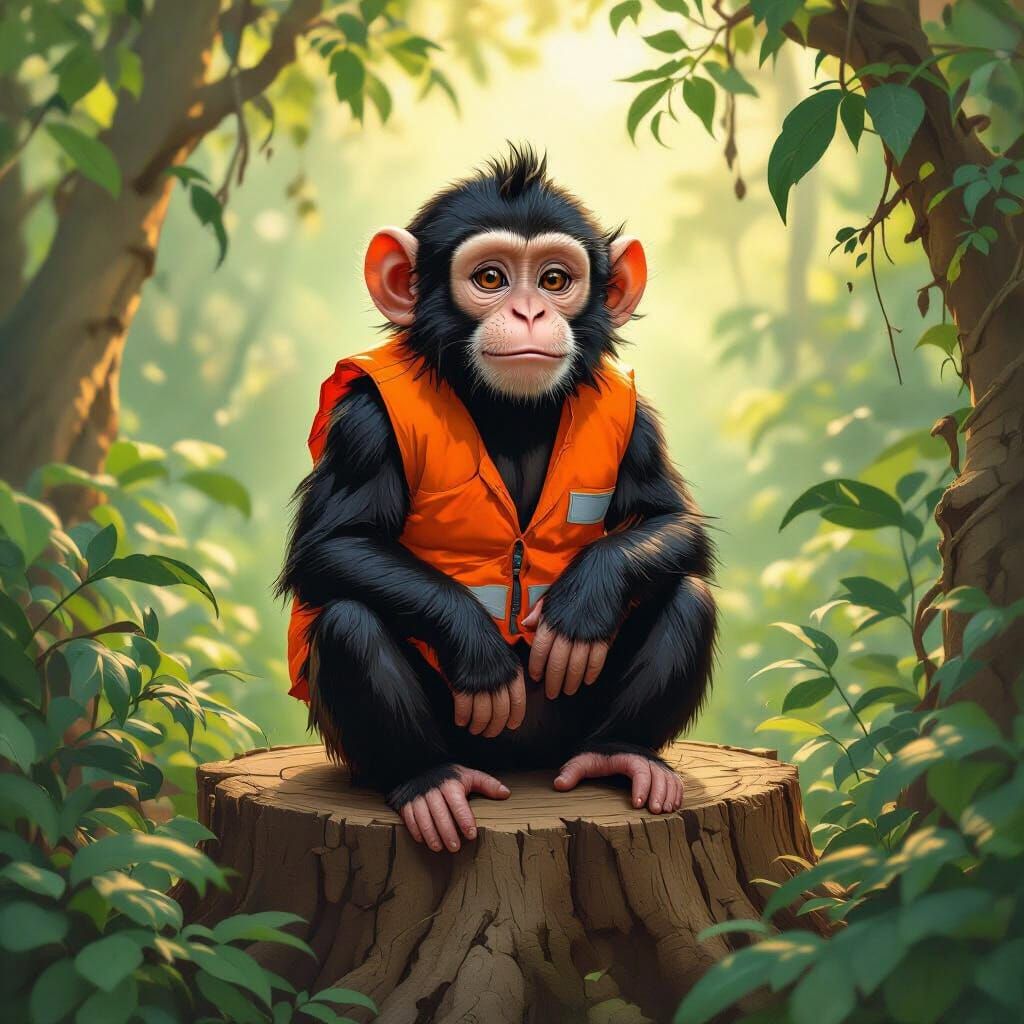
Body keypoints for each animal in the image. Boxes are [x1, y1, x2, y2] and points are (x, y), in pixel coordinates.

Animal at [277, 144, 716, 854]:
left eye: (556, 279)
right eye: (489, 278)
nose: (530, 312)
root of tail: (522, 766)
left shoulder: (639, 419)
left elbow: (671, 520)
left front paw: (581, 606)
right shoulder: (363, 423)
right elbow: (330, 545)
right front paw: (479, 652)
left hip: (568, 732)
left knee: (688, 594)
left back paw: (623, 754)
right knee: (348, 620)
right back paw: (430, 784)